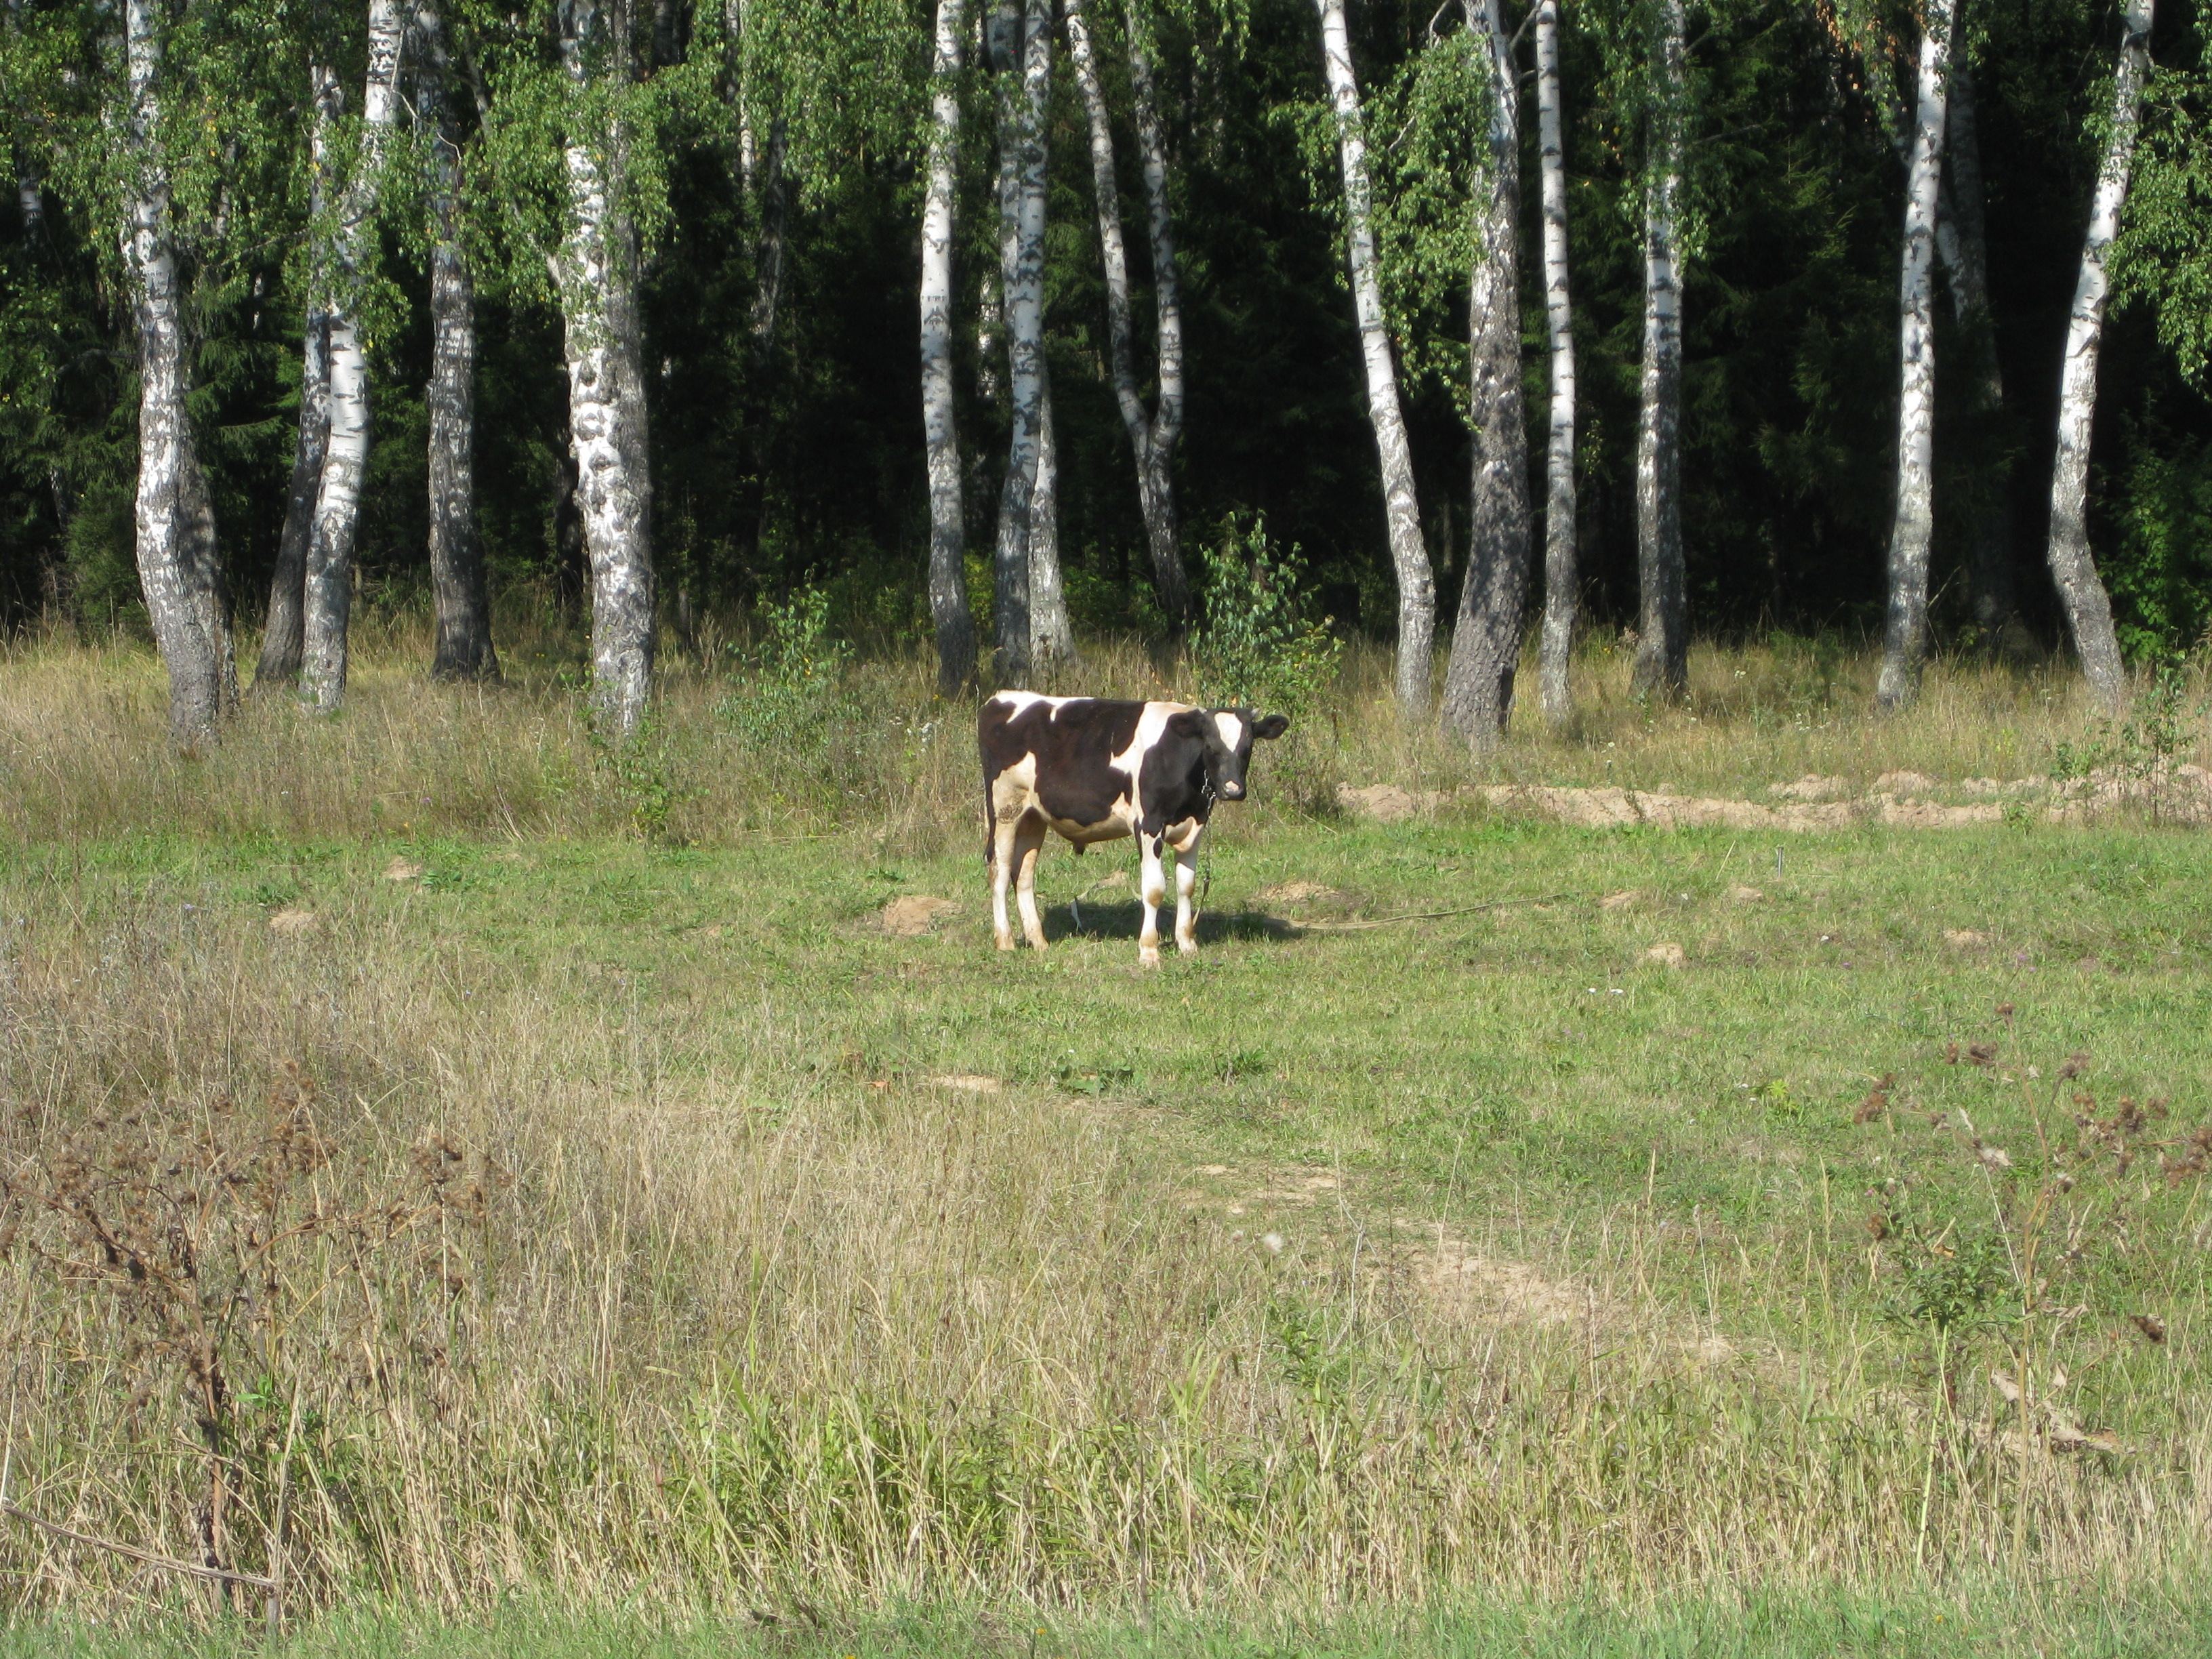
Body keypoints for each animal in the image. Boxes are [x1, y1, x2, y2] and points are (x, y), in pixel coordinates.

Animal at [979, 692, 1289, 967]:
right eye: (1211, 746)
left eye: (1247, 748)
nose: (1233, 790)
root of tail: (999, 698)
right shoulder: (1149, 824)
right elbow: (1154, 890)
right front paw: (1149, 951)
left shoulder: (1197, 824)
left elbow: (1186, 885)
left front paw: (1187, 944)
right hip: (1004, 807)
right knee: (999, 869)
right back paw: (1005, 941)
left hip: (1034, 816)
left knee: (1023, 873)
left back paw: (1038, 941)